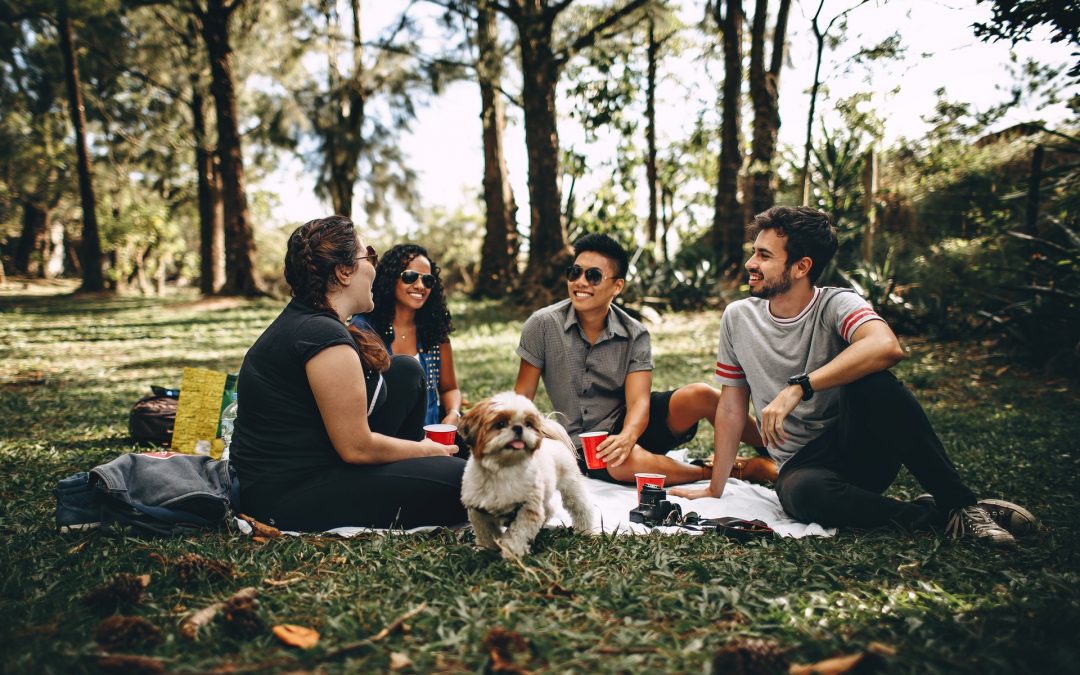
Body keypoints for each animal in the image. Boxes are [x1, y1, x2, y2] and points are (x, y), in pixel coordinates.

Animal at [455, 388, 591, 557]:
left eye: (528, 424)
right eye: (500, 424)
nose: (519, 428)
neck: (503, 469)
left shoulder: (527, 509)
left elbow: (517, 534)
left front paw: (511, 553)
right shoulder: (479, 511)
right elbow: (485, 534)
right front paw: (486, 550)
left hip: (571, 486)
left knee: (582, 508)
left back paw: (585, 530)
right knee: (548, 509)